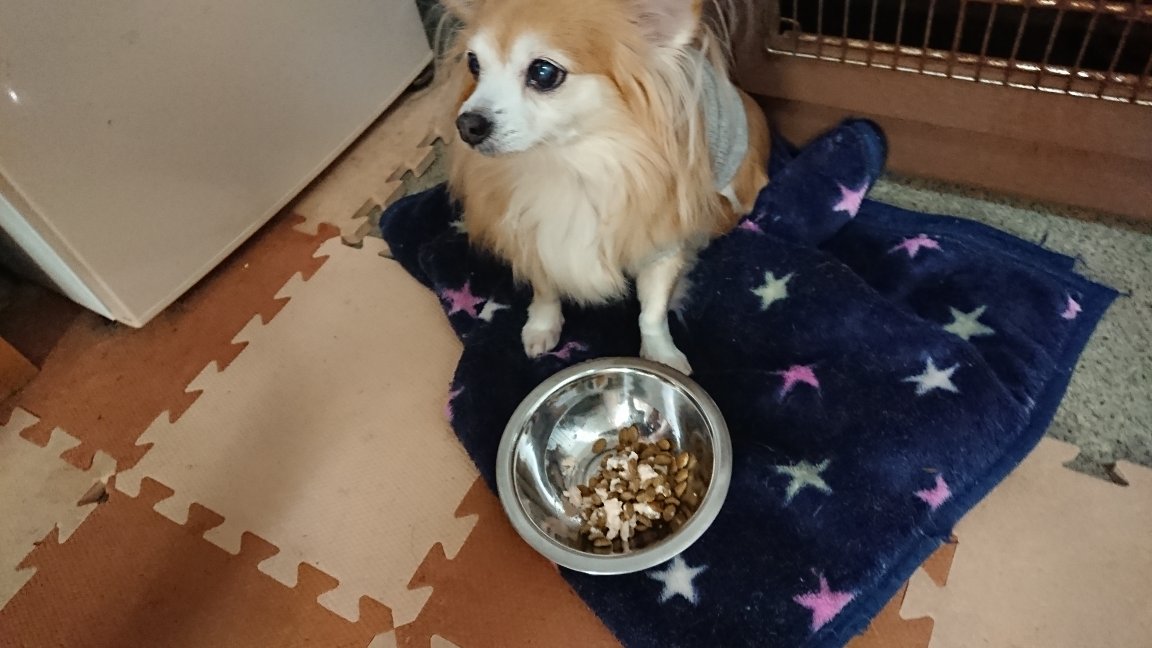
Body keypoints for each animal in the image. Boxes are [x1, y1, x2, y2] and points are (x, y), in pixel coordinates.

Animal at [439, 0, 769, 375]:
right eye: (473, 64)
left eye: (543, 72)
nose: (467, 124)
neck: (570, 166)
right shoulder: (533, 234)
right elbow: (545, 287)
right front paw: (541, 325)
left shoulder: (662, 246)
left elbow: (652, 311)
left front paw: (661, 355)